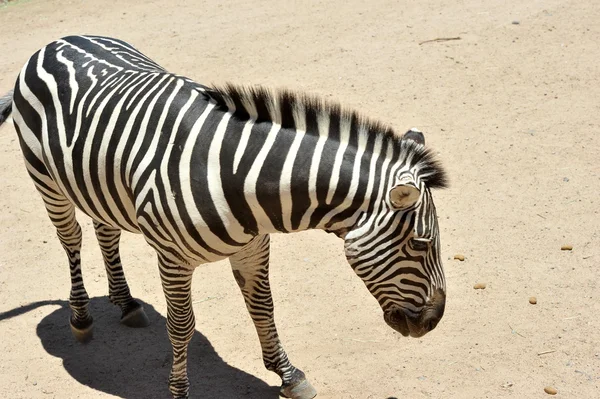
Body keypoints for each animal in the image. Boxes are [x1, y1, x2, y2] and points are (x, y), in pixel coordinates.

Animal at [0, 36, 448, 398]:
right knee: (71, 239)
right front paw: (179, 392)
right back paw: (80, 317)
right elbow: (181, 326)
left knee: (105, 232)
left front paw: (288, 376)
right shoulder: (173, 260)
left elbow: (264, 307)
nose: (433, 323)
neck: (236, 175)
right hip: (47, 181)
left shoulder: (254, 247)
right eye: (420, 244)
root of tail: (54, 42)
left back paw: (126, 304)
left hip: (98, 183)